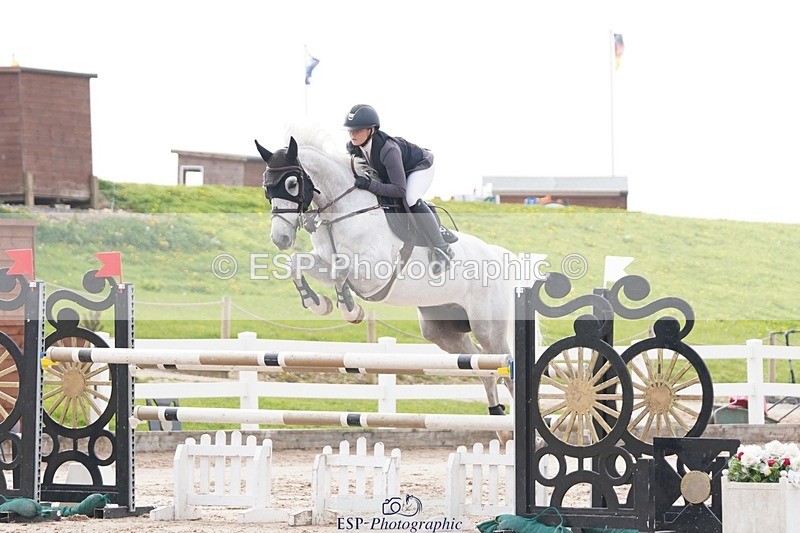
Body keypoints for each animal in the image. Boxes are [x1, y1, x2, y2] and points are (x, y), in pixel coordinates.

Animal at [254, 129, 517, 438]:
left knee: (504, 368)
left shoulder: (372, 272)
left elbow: (341, 271)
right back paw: (499, 421)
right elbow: (297, 264)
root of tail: (498, 255)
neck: (342, 212)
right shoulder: (323, 260)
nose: (280, 239)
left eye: (292, 183)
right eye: (266, 188)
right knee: (480, 366)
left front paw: (349, 308)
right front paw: (318, 303)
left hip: (488, 327)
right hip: (442, 330)